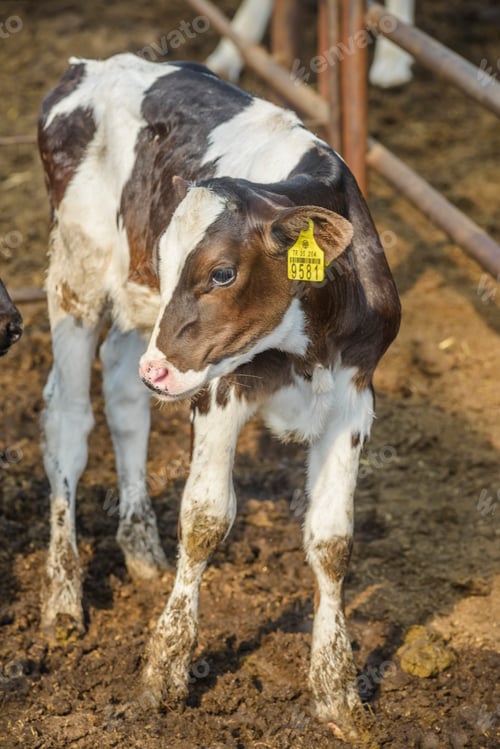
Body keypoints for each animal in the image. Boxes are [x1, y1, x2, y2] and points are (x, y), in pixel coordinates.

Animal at [38, 53, 400, 738]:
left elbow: (332, 540)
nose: (160, 373)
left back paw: (141, 549)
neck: (305, 344)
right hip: (77, 277)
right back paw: (63, 597)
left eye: (222, 273)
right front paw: (165, 670)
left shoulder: (354, 396)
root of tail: (90, 66)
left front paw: (337, 691)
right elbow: (205, 520)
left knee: (123, 394)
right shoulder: (219, 389)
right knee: (67, 423)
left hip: (139, 320)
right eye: (168, 259)